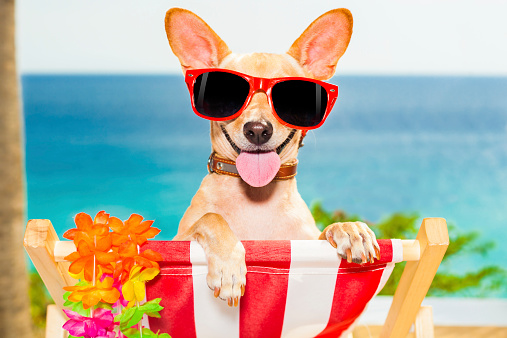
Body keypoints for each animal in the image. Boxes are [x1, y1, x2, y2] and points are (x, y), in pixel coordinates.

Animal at [165, 7, 380, 308]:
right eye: (225, 94)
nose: (257, 130)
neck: (256, 196)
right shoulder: (178, 240)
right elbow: (210, 218)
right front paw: (229, 265)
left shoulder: (305, 243)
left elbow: (326, 231)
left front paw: (348, 228)